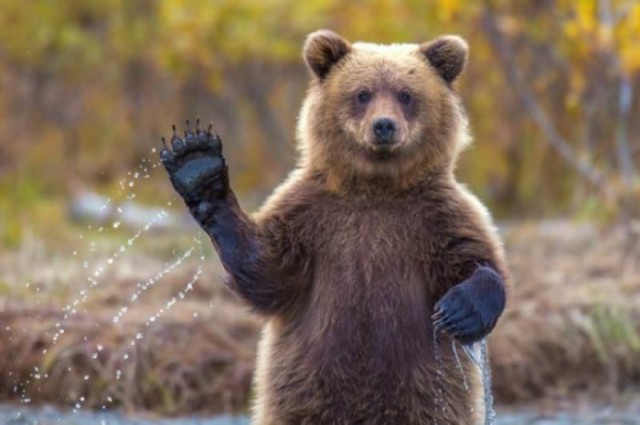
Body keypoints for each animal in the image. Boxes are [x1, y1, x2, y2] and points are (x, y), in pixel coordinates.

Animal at [160, 29, 510, 424]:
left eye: (406, 95)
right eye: (362, 93)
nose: (384, 125)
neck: (376, 186)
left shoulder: (437, 216)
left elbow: (475, 258)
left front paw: (460, 310)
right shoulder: (312, 216)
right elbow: (267, 270)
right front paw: (197, 165)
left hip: (427, 394)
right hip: (305, 390)